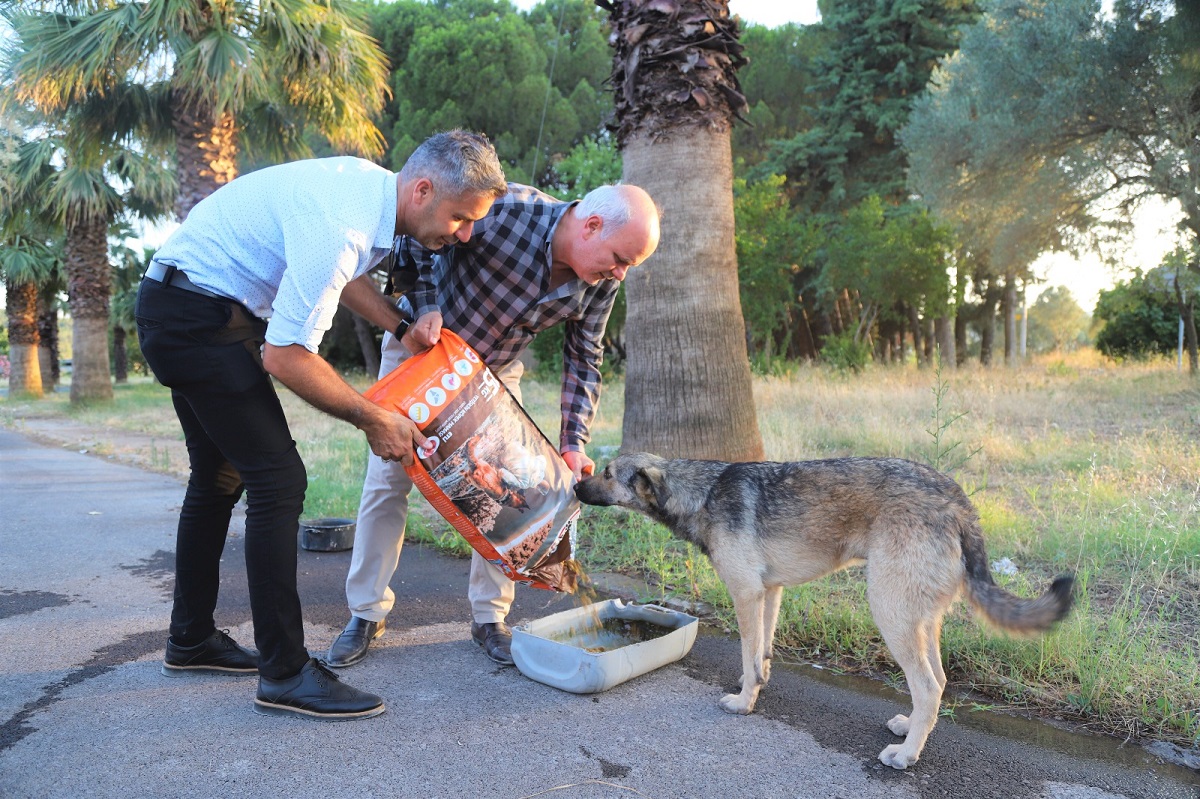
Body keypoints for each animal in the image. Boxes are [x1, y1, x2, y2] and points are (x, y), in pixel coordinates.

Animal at [576, 451, 1075, 767]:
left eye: (607, 473)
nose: (577, 482)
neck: (702, 491)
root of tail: (958, 501)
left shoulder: (746, 596)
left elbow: (747, 653)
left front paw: (743, 702)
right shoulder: (769, 593)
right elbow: (760, 655)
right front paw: (756, 685)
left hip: (890, 615)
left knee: (929, 687)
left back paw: (907, 756)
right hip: (918, 621)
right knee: (936, 683)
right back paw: (910, 728)